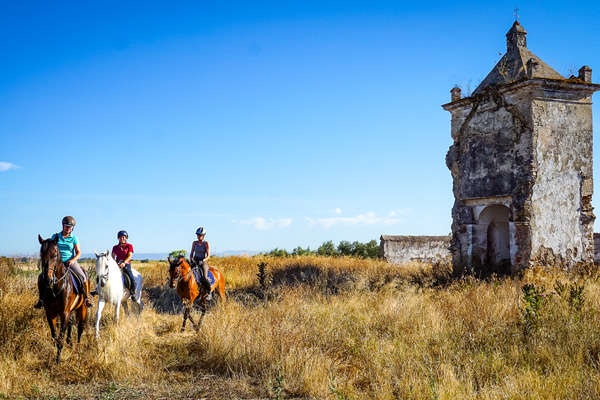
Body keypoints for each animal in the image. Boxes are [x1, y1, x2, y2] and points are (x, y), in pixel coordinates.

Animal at [37, 233, 86, 364]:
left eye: (54, 255)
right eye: (41, 254)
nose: (47, 280)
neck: (56, 286)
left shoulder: (64, 313)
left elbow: (60, 338)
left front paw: (58, 361)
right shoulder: (50, 313)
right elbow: (54, 336)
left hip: (82, 308)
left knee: (80, 328)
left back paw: (78, 350)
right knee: (71, 324)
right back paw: (70, 342)